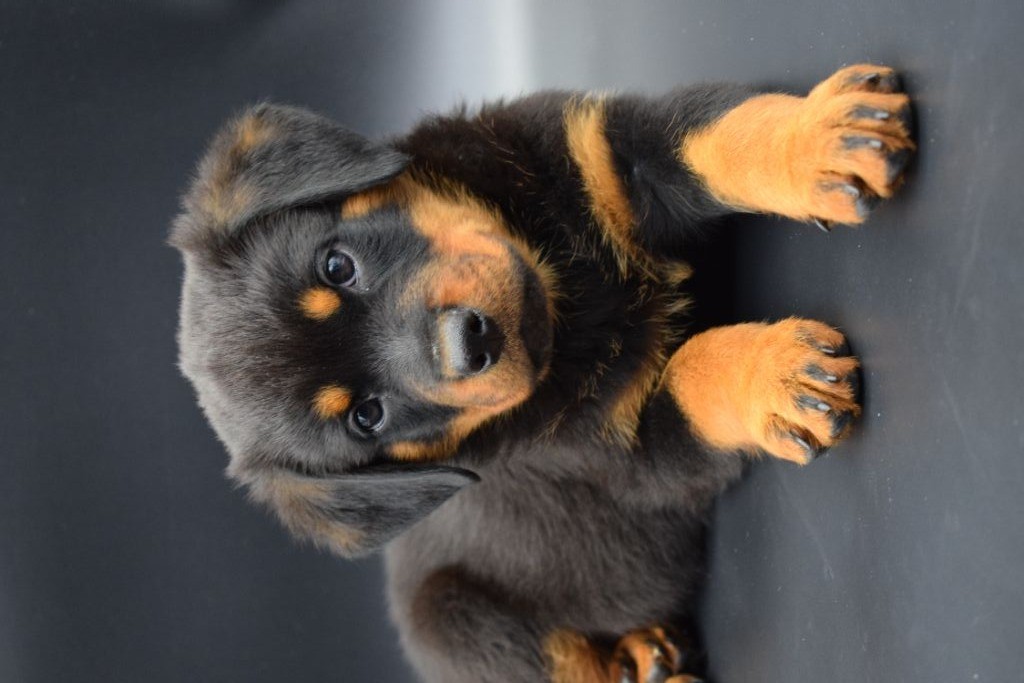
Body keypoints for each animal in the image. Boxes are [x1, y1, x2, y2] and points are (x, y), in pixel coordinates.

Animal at [171, 64, 913, 682]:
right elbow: (692, 371)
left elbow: (718, 136)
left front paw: (817, 138)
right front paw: (781, 376)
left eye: (336, 266)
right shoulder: (632, 456)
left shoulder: (602, 147)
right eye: (367, 415)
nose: (469, 345)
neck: (568, 304)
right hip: (452, 627)